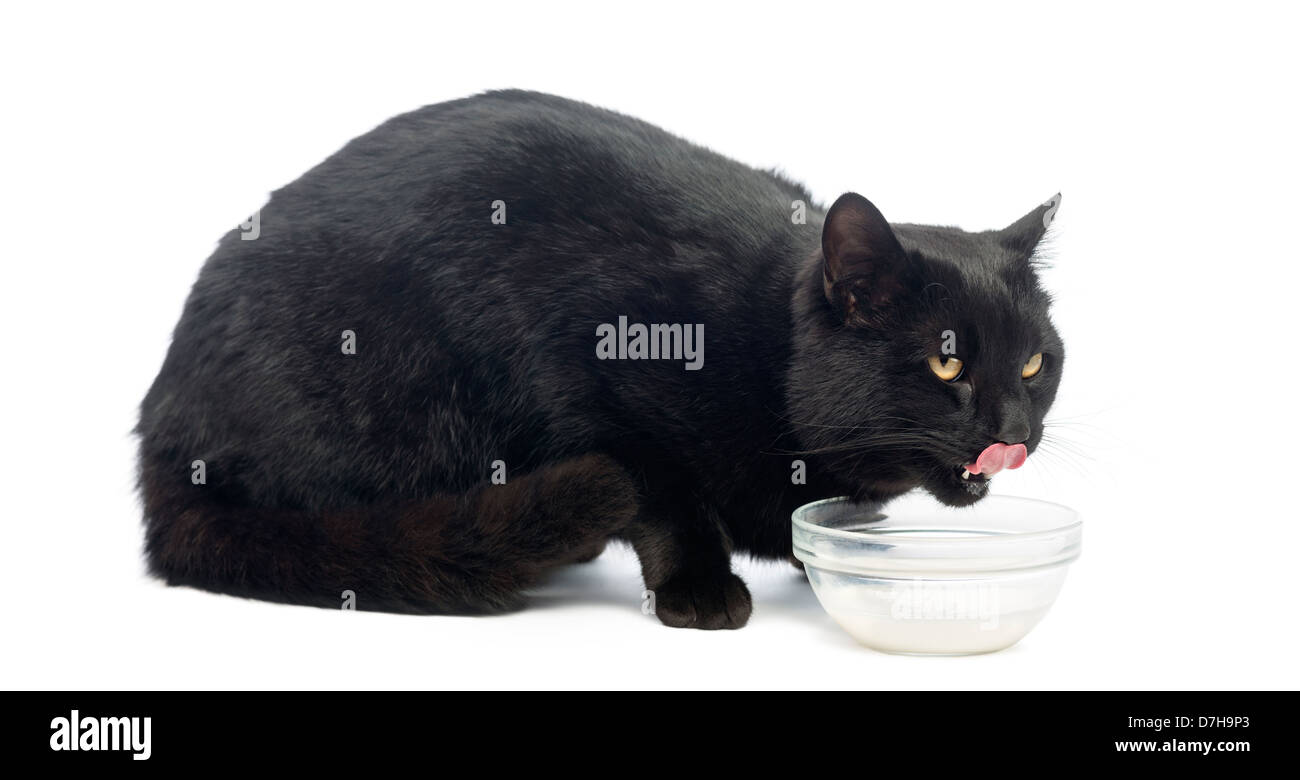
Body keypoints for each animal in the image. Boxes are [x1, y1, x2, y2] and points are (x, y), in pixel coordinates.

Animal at [137, 89, 1060, 626]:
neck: (765, 346)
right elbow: (662, 496)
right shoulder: (591, 373)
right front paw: (699, 587)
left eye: (1034, 366)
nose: (1016, 431)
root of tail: (165, 423)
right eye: (946, 365)